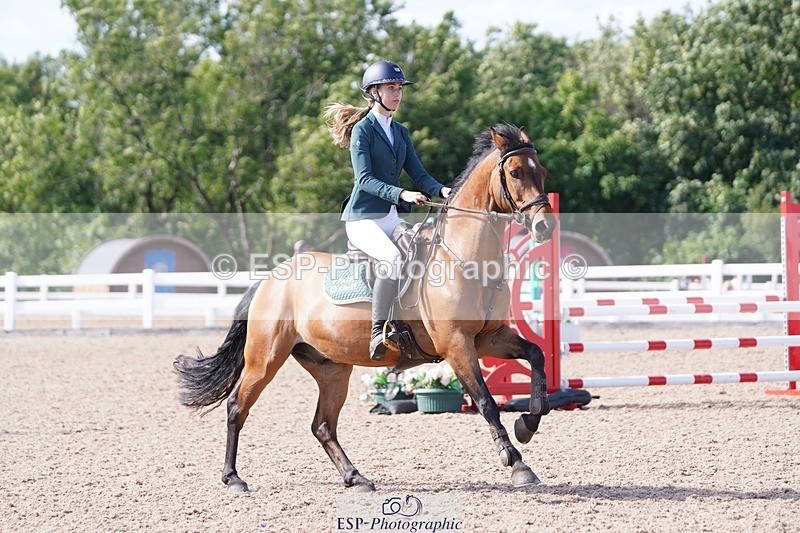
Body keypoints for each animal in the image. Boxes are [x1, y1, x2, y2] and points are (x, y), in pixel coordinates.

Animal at [174, 123, 558, 492]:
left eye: (542, 171)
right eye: (516, 172)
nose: (544, 227)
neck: (461, 256)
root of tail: (269, 279)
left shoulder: (488, 337)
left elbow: (536, 355)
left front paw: (528, 422)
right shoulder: (457, 345)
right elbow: (486, 402)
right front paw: (517, 464)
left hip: (332, 369)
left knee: (323, 426)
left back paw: (355, 477)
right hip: (264, 359)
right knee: (237, 407)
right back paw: (233, 478)